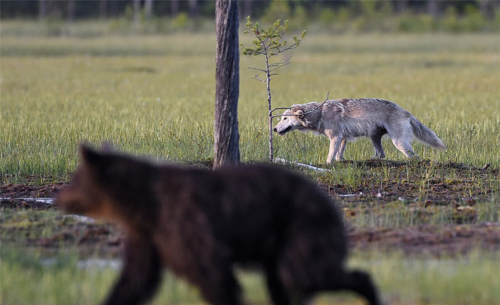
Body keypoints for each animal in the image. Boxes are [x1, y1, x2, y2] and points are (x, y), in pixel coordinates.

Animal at [55, 144, 382, 304]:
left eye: (75, 180)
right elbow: (134, 281)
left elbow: (213, 274)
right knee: (286, 283)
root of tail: (328, 199)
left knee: (304, 274)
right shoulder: (149, 236)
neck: (143, 206)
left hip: (301, 227)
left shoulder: (187, 223)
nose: (60, 198)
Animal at [274, 98, 446, 163]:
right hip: (374, 138)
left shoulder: (335, 137)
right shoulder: (343, 138)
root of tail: (406, 112)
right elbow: (339, 155)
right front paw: (340, 161)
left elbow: (330, 156)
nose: (274, 129)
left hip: (398, 143)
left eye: (285, 118)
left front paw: (328, 164)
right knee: (381, 154)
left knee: (414, 157)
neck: (320, 113)